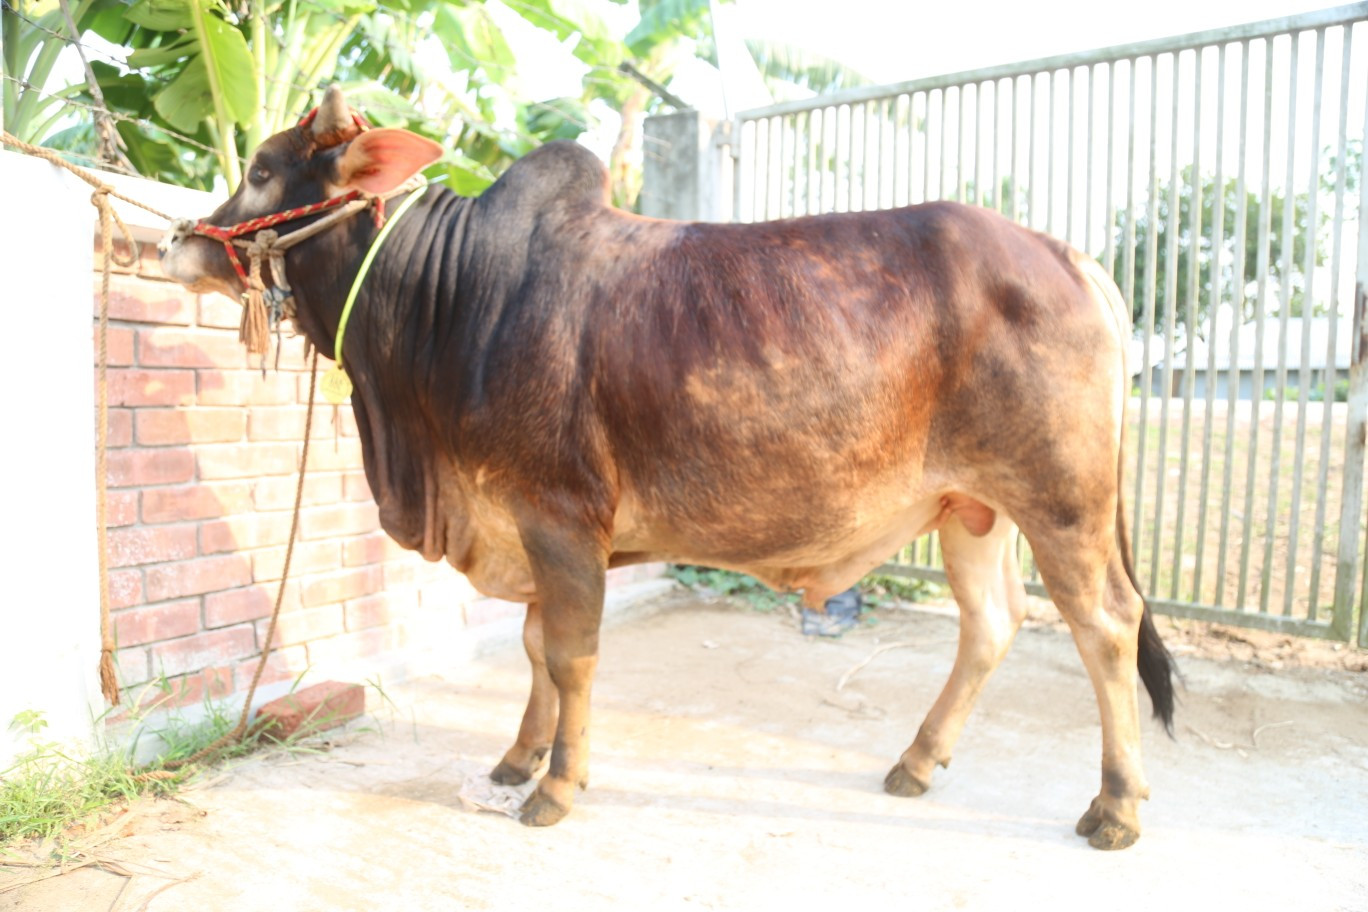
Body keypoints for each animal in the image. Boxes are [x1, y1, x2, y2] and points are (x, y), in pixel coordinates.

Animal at [158, 85, 1174, 850]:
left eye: (259, 169)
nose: (180, 237)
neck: (452, 300)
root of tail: (1073, 257)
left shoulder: (560, 515)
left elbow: (569, 654)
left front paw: (555, 788)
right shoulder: (529, 525)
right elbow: (535, 646)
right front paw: (516, 759)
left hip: (1062, 504)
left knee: (1107, 625)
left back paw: (1117, 806)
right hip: (973, 508)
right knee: (993, 624)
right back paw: (918, 762)